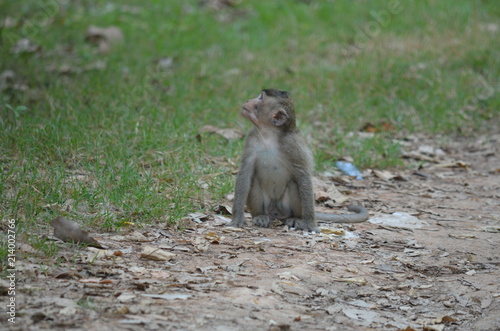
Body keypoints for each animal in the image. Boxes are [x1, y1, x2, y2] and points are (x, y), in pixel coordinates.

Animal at [229, 89, 370, 232]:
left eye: (260, 98)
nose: (248, 100)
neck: (269, 134)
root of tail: (276, 214)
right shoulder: (251, 139)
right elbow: (245, 174)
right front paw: (237, 218)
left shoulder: (292, 145)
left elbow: (303, 175)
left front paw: (310, 224)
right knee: (256, 181)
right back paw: (260, 216)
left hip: (286, 208)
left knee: (294, 184)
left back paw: (296, 218)